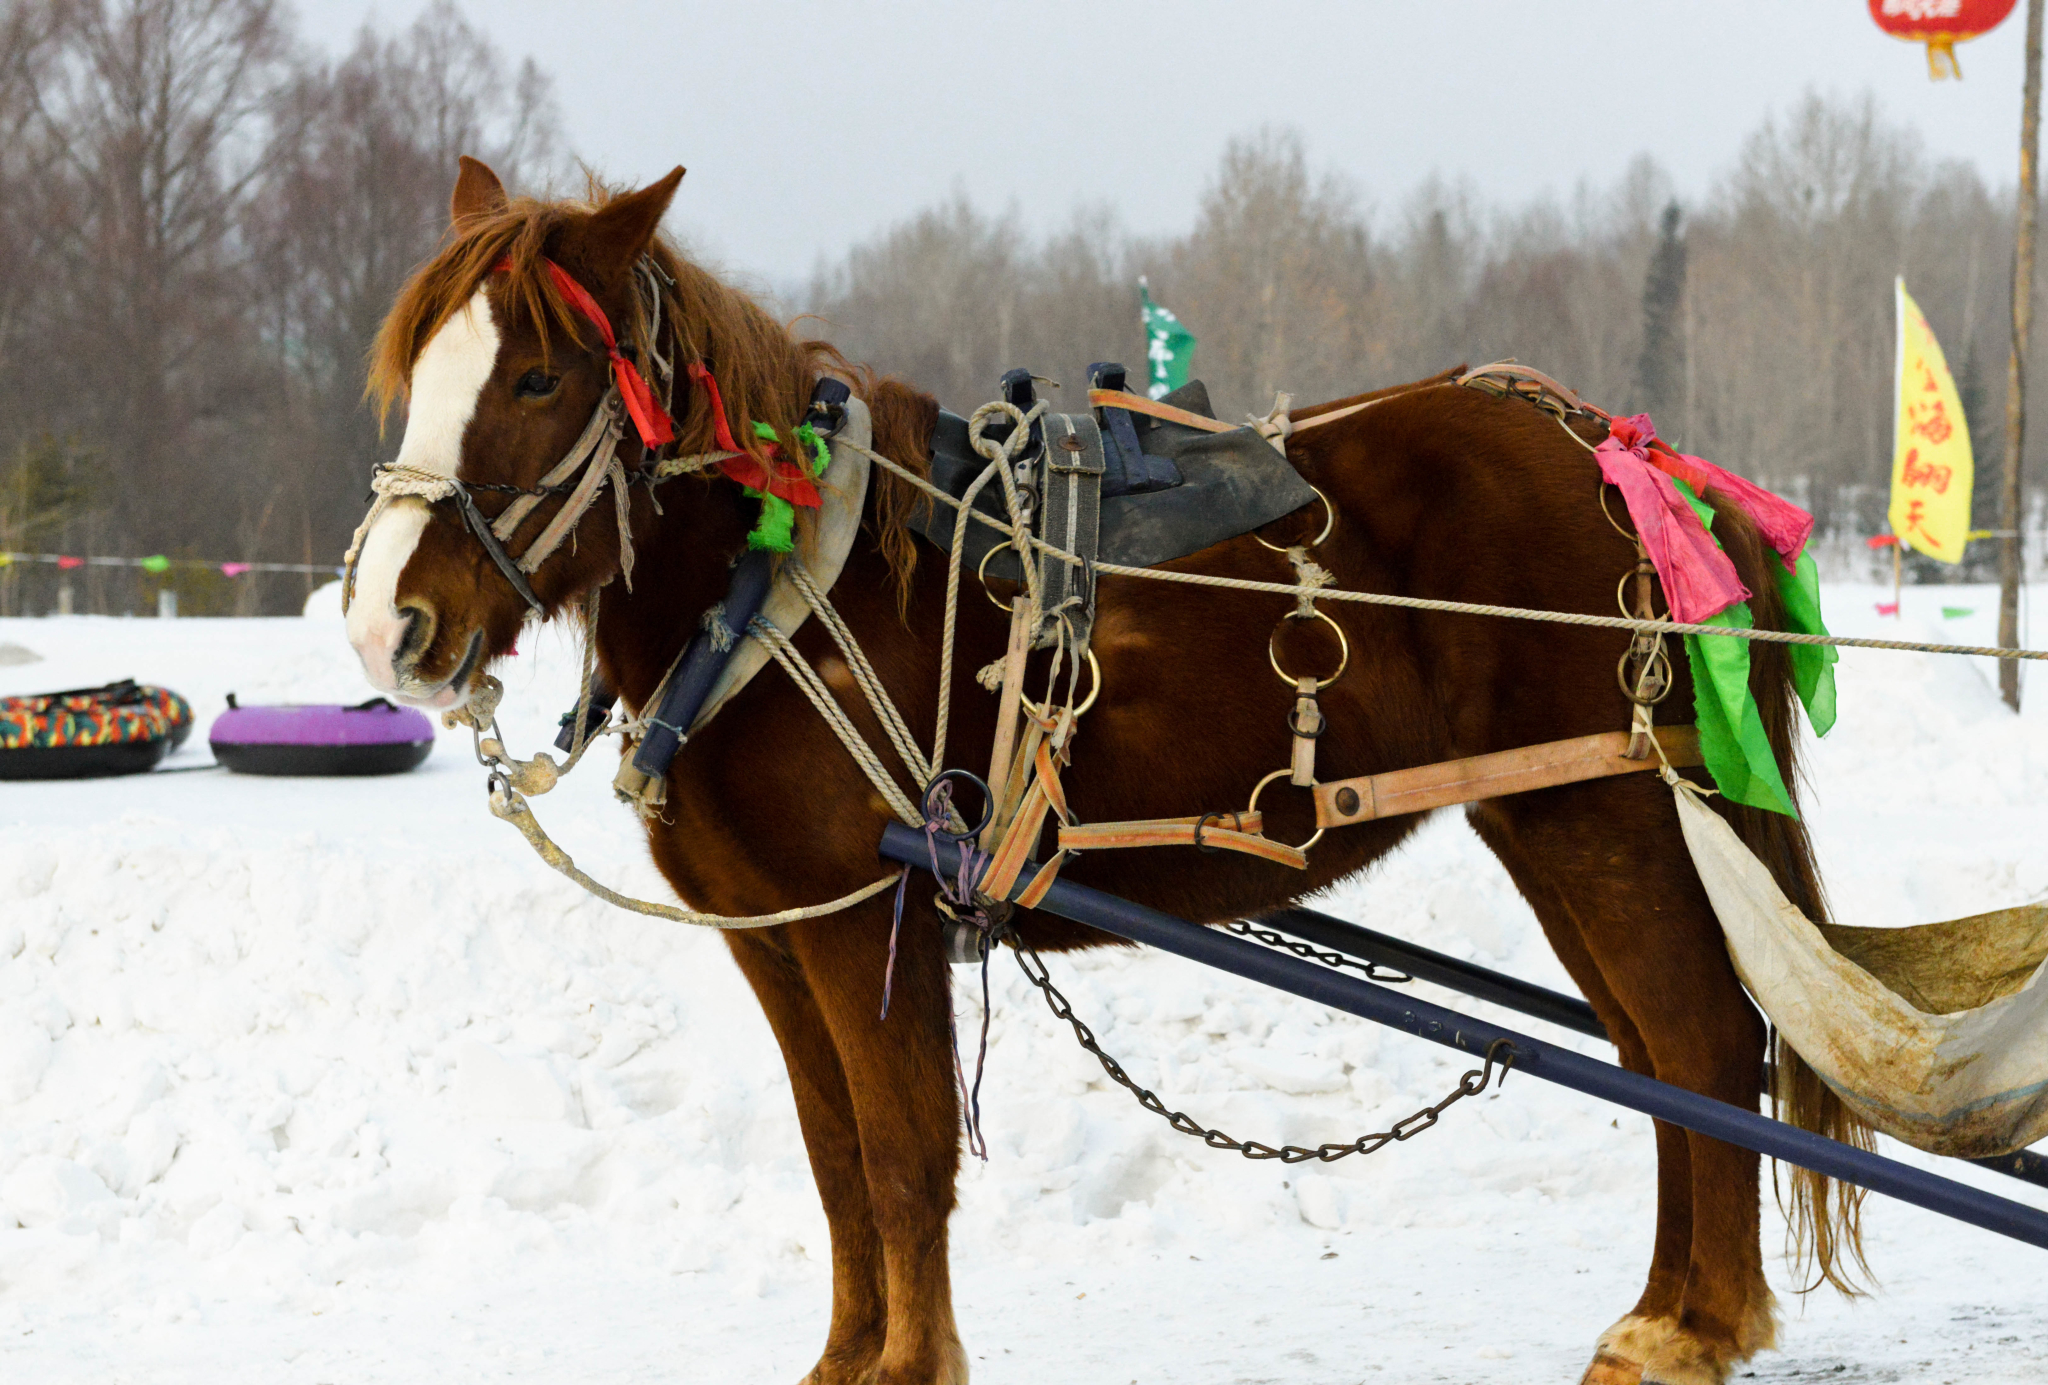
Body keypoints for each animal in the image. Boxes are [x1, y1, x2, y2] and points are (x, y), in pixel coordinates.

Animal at [344, 164, 1851, 1385]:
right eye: (419, 374)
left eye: (539, 379)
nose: (385, 626)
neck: (777, 586)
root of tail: (1624, 447)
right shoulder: (772, 936)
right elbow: (833, 1162)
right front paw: (848, 1358)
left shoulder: (863, 920)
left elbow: (898, 1159)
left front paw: (906, 1365)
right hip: (1553, 817)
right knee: (1655, 1053)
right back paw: (1669, 1305)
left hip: (1602, 805)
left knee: (1700, 1045)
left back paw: (1694, 1324)